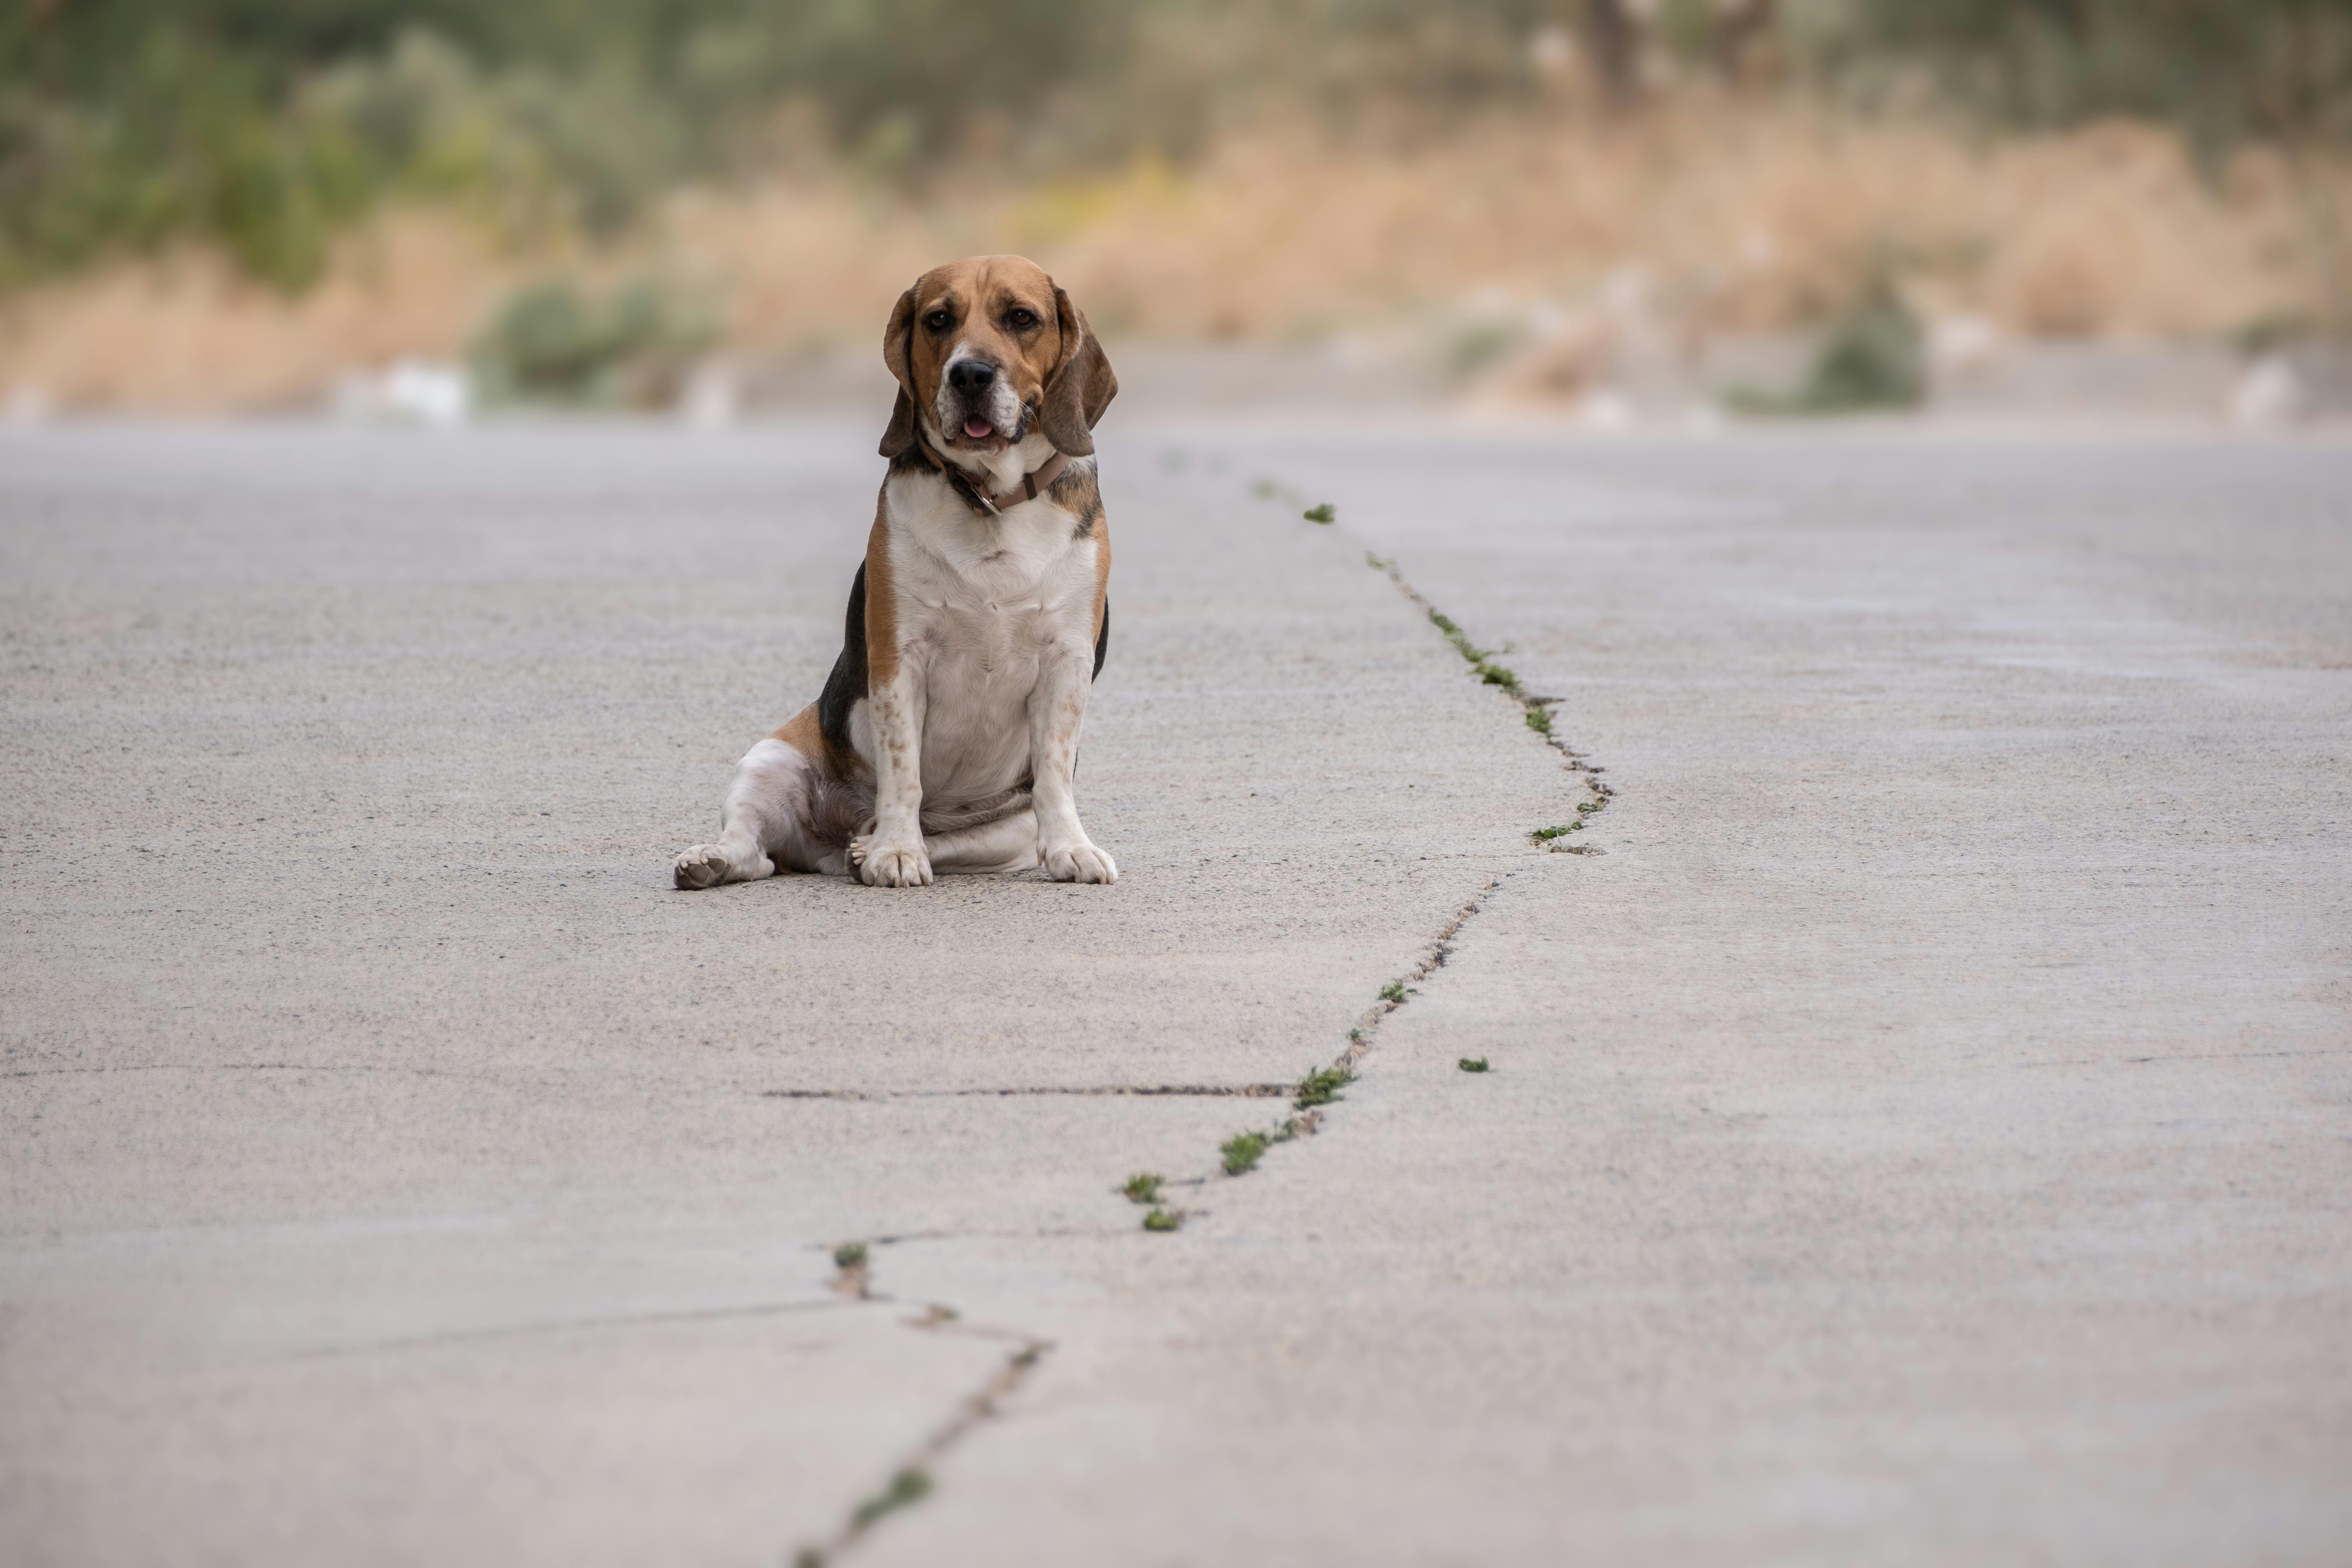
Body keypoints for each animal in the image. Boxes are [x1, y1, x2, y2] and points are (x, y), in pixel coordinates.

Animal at [682, 258, 1119, 893]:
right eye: (938, 319)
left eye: (1021, 318)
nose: (970, 375)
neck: (988, 501)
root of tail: (829, 845)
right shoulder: (898, 659)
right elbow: (902, 768)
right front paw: (895, 851)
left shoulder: (1067, 663)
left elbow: (1055, 774)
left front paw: (1071, 849)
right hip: (769, 760)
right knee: (751, 851)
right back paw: (723, 858)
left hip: (1006, 832)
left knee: (953, 839)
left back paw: (868, 848)